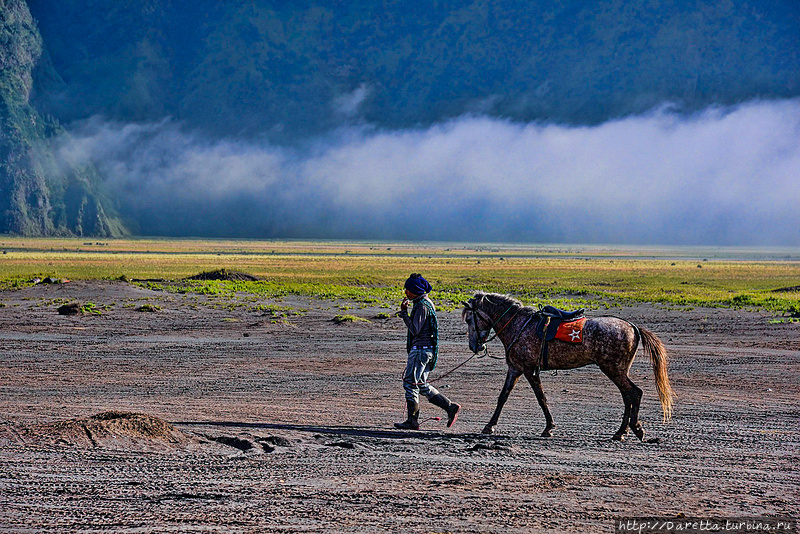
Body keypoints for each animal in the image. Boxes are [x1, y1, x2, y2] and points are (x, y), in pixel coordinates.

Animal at [462, 296, 676, 442]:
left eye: (469, 319)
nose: (474, 346)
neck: (518, 325)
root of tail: (633, 327)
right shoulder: (515, 368)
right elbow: (503, 397)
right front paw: (489, 426)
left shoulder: (529, 370)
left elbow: (541, 398)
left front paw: (549, 428)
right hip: (618, 370)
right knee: (628, 395)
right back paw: (621, 432)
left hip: (613, 369)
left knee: (634, 393)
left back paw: (633, 429)